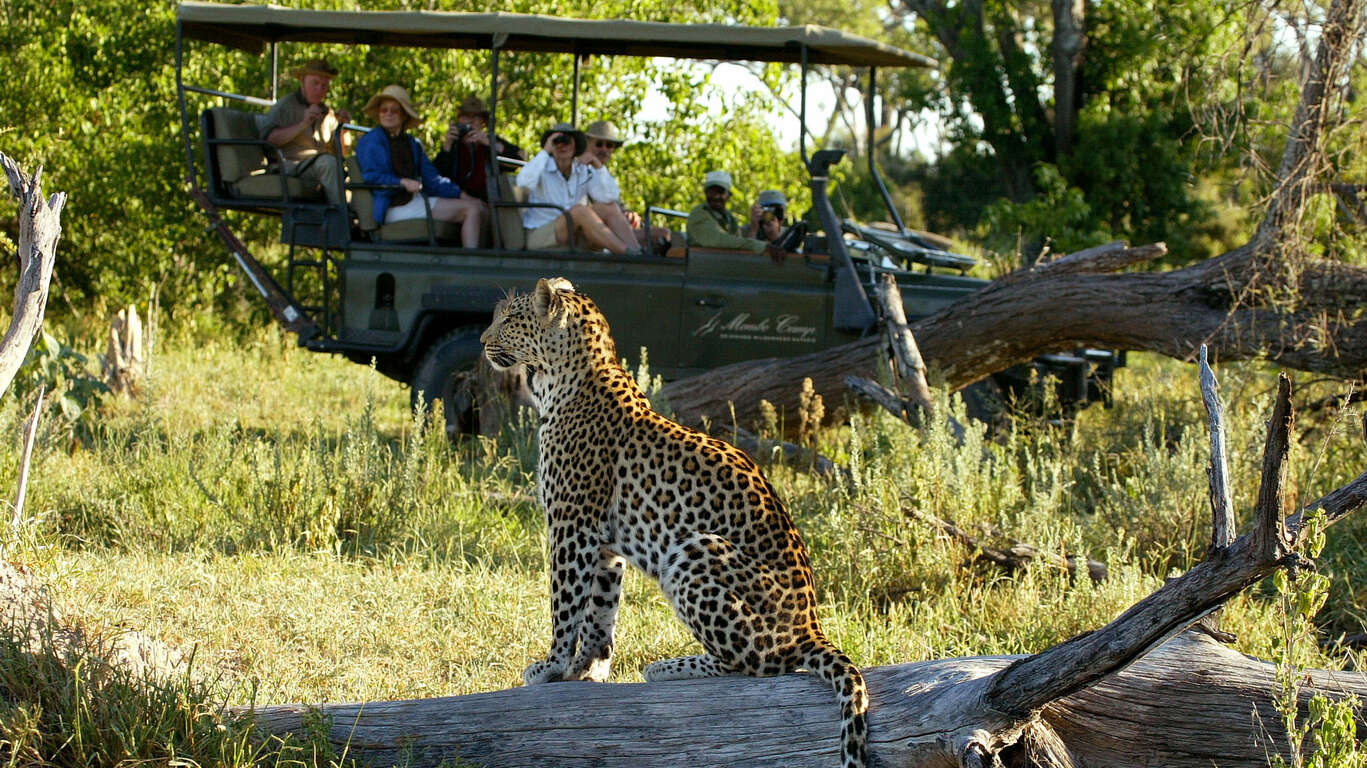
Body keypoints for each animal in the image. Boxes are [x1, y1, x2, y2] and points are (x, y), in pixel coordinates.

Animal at [478, 276, 863, 765]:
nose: (482, 340)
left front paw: (551, 666)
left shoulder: (572, 526)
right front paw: (588, 669)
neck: (563, 378)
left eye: (510, 318)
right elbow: (600, 611)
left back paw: (668, 667)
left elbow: (564, 605)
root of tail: (812, 626)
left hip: (693, 550)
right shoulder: (604, 545)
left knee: (761, 661)